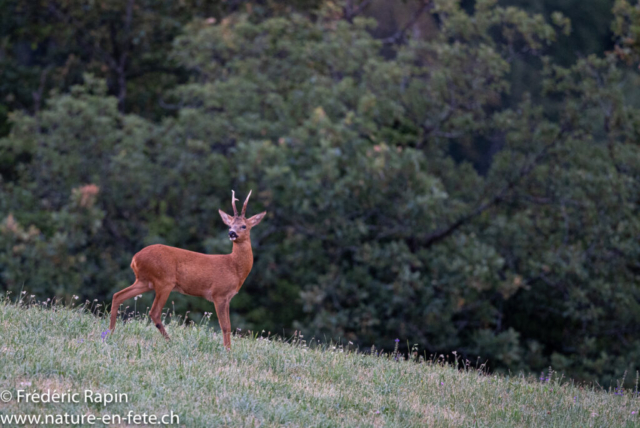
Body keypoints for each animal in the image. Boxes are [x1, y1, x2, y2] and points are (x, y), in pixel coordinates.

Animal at [111, 191, 266, 348]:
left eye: (244, 226)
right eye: (230, 226)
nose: (232, 233)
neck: (234, 267)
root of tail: (134, 259)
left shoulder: (227, 297)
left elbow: (228, 325)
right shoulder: (219, 293)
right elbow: (225, 326)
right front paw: (228, 350)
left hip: (144, 281)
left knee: (118, 295)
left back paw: (111, 332)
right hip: (164, 281)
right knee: (154, 312)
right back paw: (170, 341)